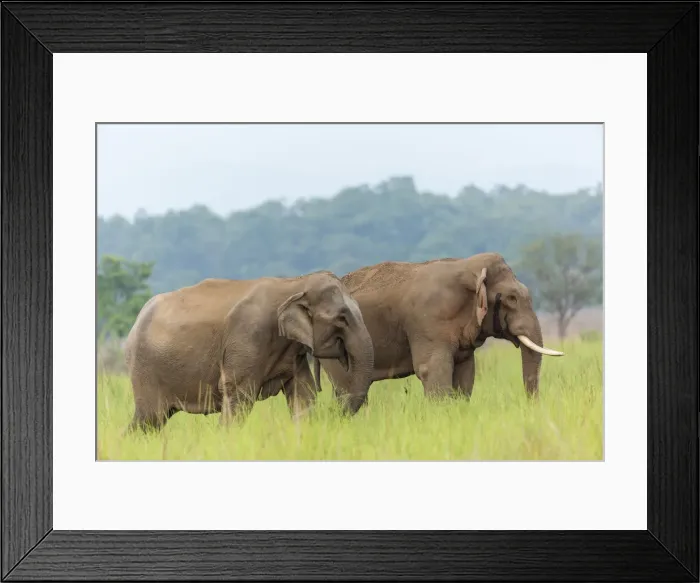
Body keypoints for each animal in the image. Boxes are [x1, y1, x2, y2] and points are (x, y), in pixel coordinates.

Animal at [123, 270, 374, 431]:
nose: (334, 414)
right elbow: (239, 395)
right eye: (342, 318)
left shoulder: (292, 352)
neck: (294, 284)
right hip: (145, 368)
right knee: (151, 418)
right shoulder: (248, 336)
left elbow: (304, 393)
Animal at [311, 252, 563, 401]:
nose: (531, 405)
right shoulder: (428, 322)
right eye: (511, 298)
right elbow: (432, 370)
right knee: (348, 387)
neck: (468, 268)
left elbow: (465, 373)